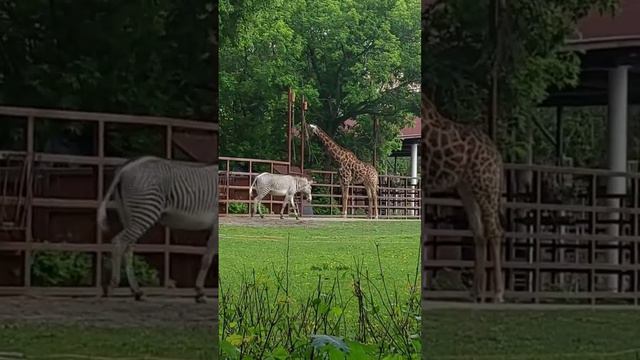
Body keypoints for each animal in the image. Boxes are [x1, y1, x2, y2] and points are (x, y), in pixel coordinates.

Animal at [96, 156, 219, 302]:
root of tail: (127, 166)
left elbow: (209, 256)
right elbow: (208, 259)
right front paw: (200, 292)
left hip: (129, 217)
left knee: (128, 249)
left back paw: (137, 291)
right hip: (146, 212)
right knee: (118, 242)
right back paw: (112, 287)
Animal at [422, 93, 508, 304]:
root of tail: (498, 156)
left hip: (484, 183)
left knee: (494, 229)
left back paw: (497, 294)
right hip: (467, 187)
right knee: (479, 231)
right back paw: (476, 293)